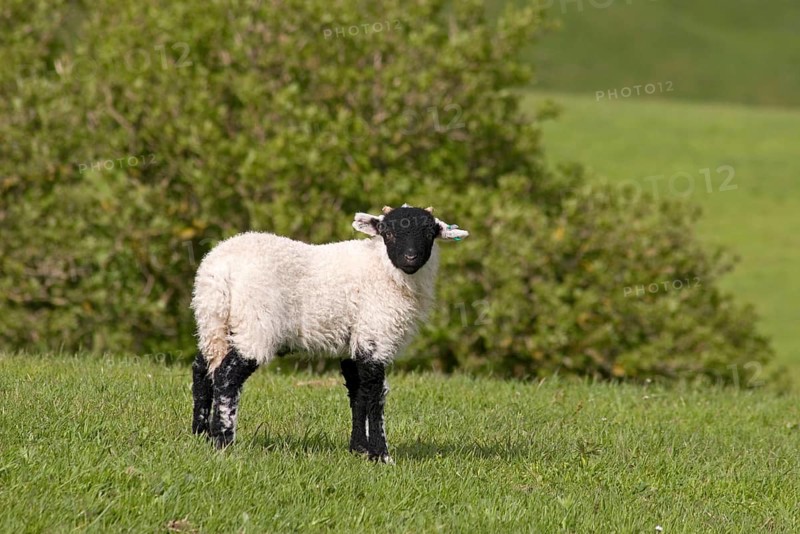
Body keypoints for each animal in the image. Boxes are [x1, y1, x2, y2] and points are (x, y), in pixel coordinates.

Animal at [190, 204, 469, 462]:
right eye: (387, 233)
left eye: (429, 232)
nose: (410, 258)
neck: (382, 268)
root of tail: (220, 271)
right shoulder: (375, 334)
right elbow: (375, 395)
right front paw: (381, 455)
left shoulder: (353, 341)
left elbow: (357, 393)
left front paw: (359, 449)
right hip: (255, 325)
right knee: (227, 376)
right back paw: (224, 441)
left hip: (212, 322)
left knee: (202, 370)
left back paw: (201, 434)